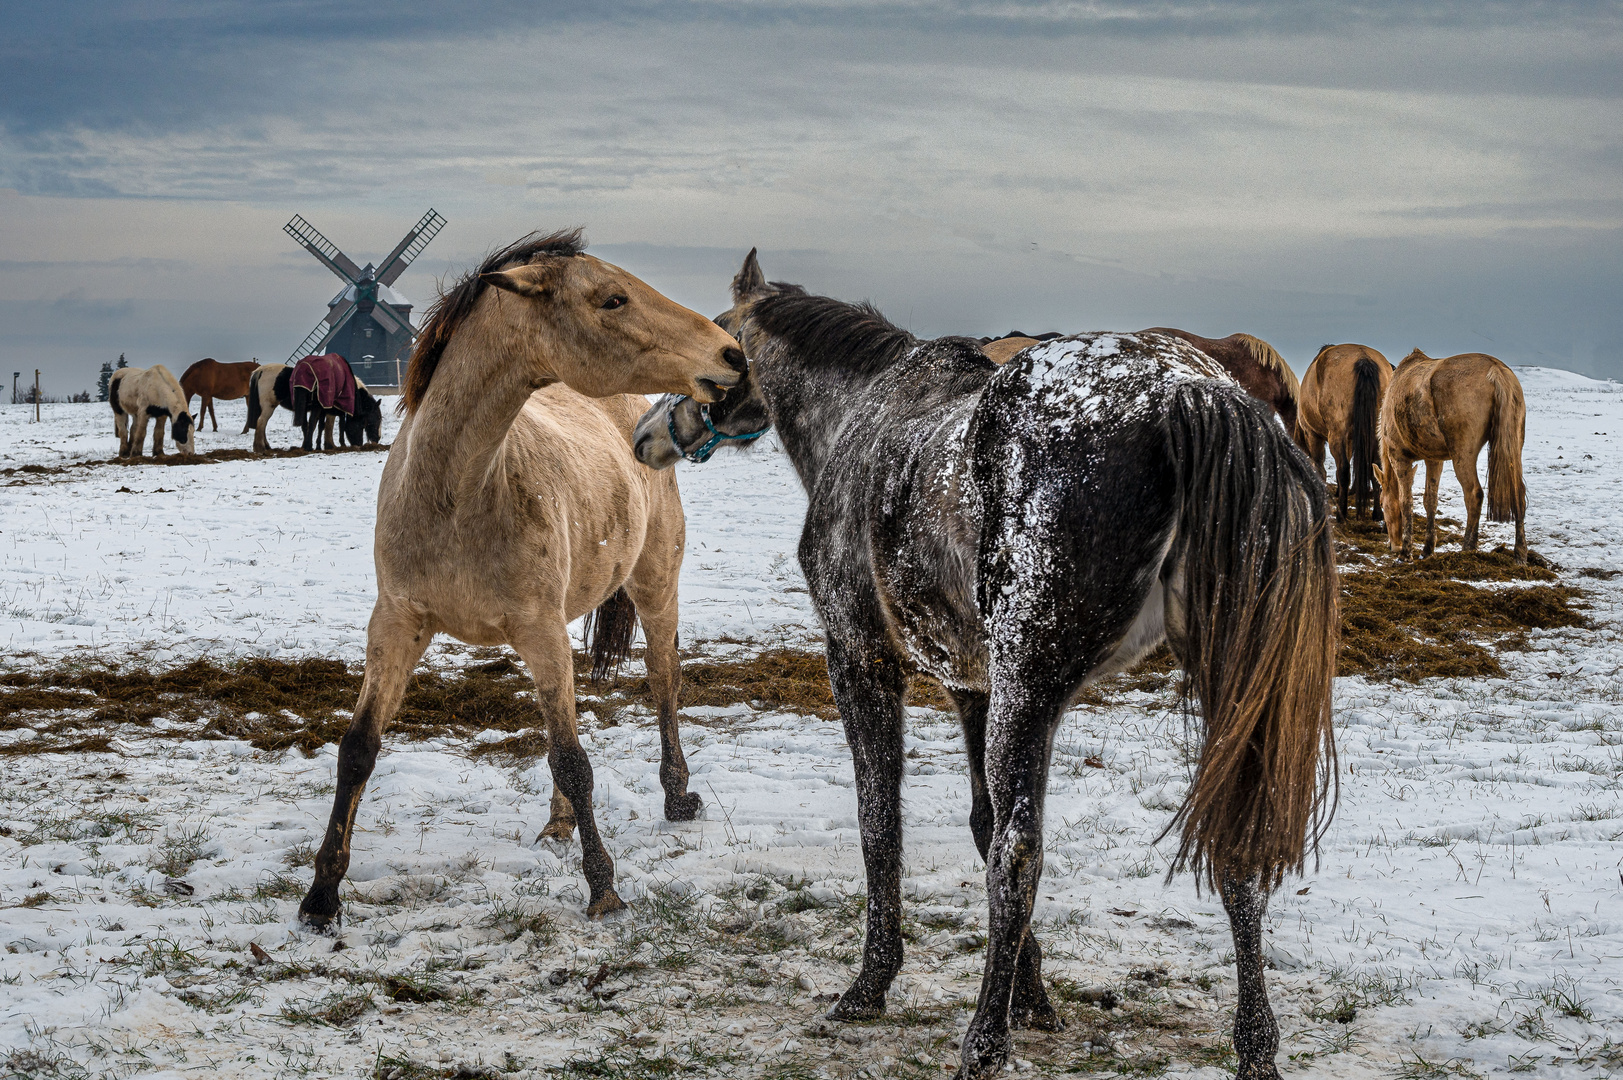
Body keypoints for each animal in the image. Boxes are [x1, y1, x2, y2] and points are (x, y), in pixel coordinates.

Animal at [1291, 341, 1395, 519]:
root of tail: (1364, 359)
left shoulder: (1313, 435)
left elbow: (1320, 467)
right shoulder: (1350, 439)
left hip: (1336, 435)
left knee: (1344, 469)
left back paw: (1342, 513)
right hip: (1374, 435)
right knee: (1375, 469)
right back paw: (1377, 513)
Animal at [1376, 349, 1525, 565]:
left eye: (1381, 503)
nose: (1393, 546)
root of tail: (1496, 371)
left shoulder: (1399, 458)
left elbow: (1406, 502)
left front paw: (1406, 552)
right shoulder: (1434, 460)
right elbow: (1430, 500)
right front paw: (1427, 549)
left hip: (1462, 455)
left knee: (1474, 494)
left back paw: (1467, 548)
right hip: (1514, 449)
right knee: (1518, 495)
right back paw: (1520, 554)